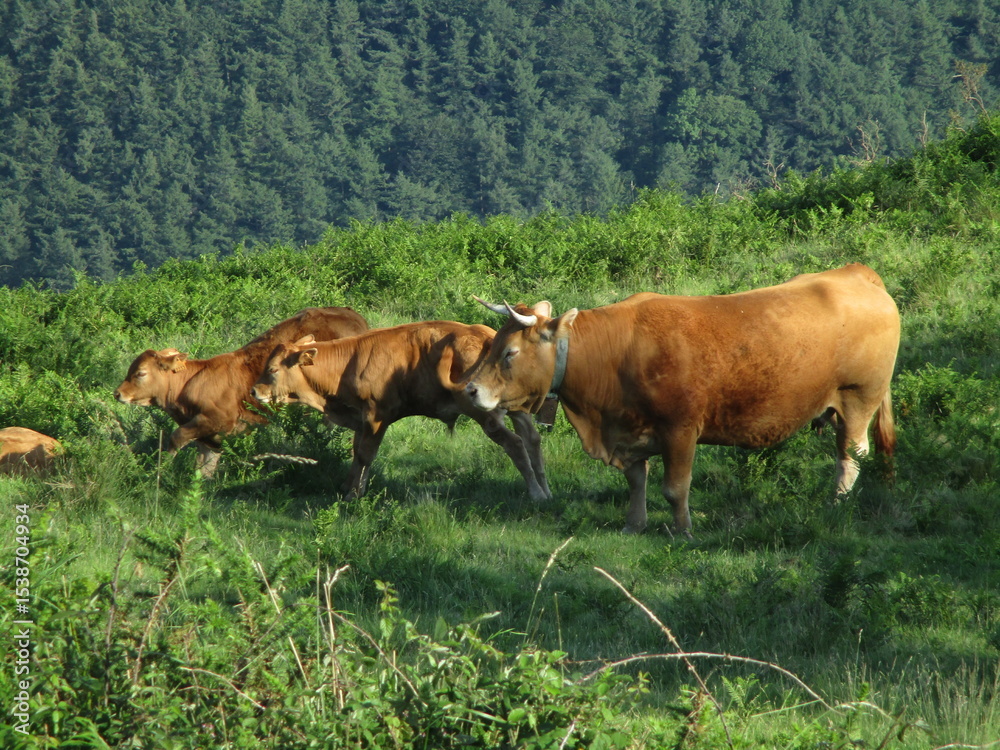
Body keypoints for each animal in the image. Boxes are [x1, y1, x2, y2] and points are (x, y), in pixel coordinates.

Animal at [114, 307, 368, 477]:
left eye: (140, 373)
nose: (117, 393)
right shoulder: (211, 437)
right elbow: (204, 467)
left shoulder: (218, 419)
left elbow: (176, 438)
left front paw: (161, 470)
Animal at [250, 321, 551, 501]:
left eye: (273, 369)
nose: (254, 391)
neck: (349, 363)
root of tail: (484, 335)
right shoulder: (362, 418)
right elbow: (357, 453)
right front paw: (351, 487)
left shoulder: (376, 414)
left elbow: (365, 454)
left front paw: (353, 495)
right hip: (514, 406)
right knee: (532, 439)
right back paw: (546, 490)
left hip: (484, 412)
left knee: (515, 443)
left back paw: (535, 493)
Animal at [464, 263, 900, 536]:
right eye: (493, 344)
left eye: (509, 353)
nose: (470, 390)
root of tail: (857, 273)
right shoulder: (627, 430)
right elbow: (636, 479)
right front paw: (633, 524)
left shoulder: (680, 429)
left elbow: (675, 487)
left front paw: (683, 530)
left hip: (859, 397)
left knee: (852, 455)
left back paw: (836, 504)